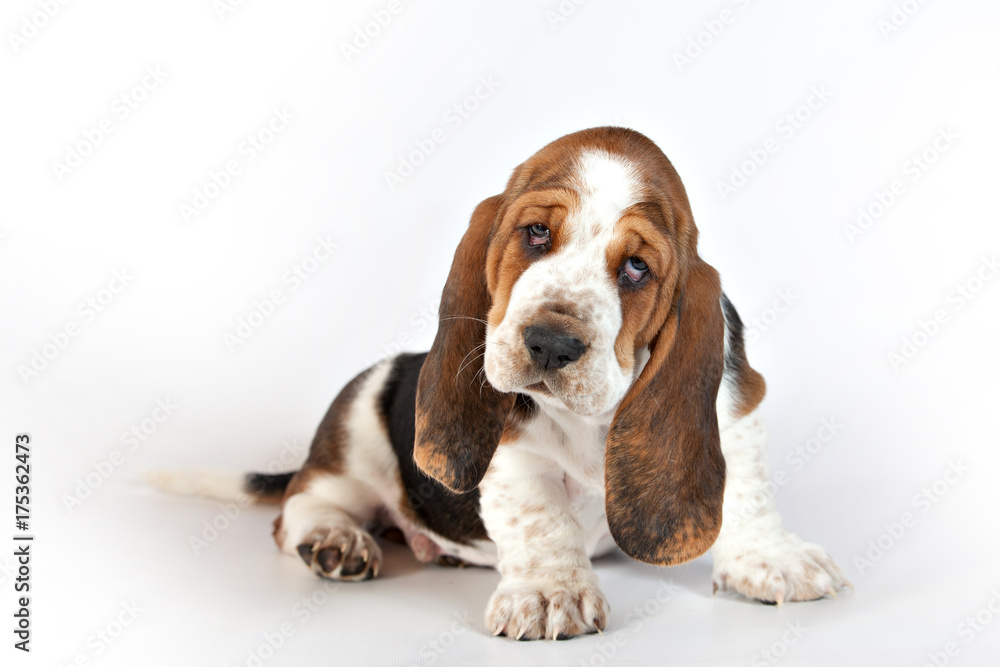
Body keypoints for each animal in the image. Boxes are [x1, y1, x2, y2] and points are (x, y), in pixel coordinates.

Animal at [152, 125, 848, 640]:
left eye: (636, 267)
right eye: (537, 231)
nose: (552, 343)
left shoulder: (734, 408)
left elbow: (747, 492)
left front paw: (773, 558)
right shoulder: (512, 450)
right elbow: (540, 517)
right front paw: (548, 593)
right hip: (350, 444)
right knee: (300, 506)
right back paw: (336, 539)